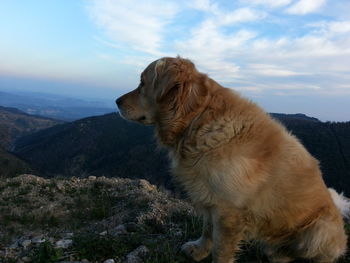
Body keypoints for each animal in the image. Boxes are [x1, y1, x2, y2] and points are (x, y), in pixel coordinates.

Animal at [116, 56, 348, 262]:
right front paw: (199, 250)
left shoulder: (229, 212)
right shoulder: (211, 197)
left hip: (319, 229)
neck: (198, 118)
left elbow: (221, 251)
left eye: (142, 82)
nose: (117, 101)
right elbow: (207, 230)